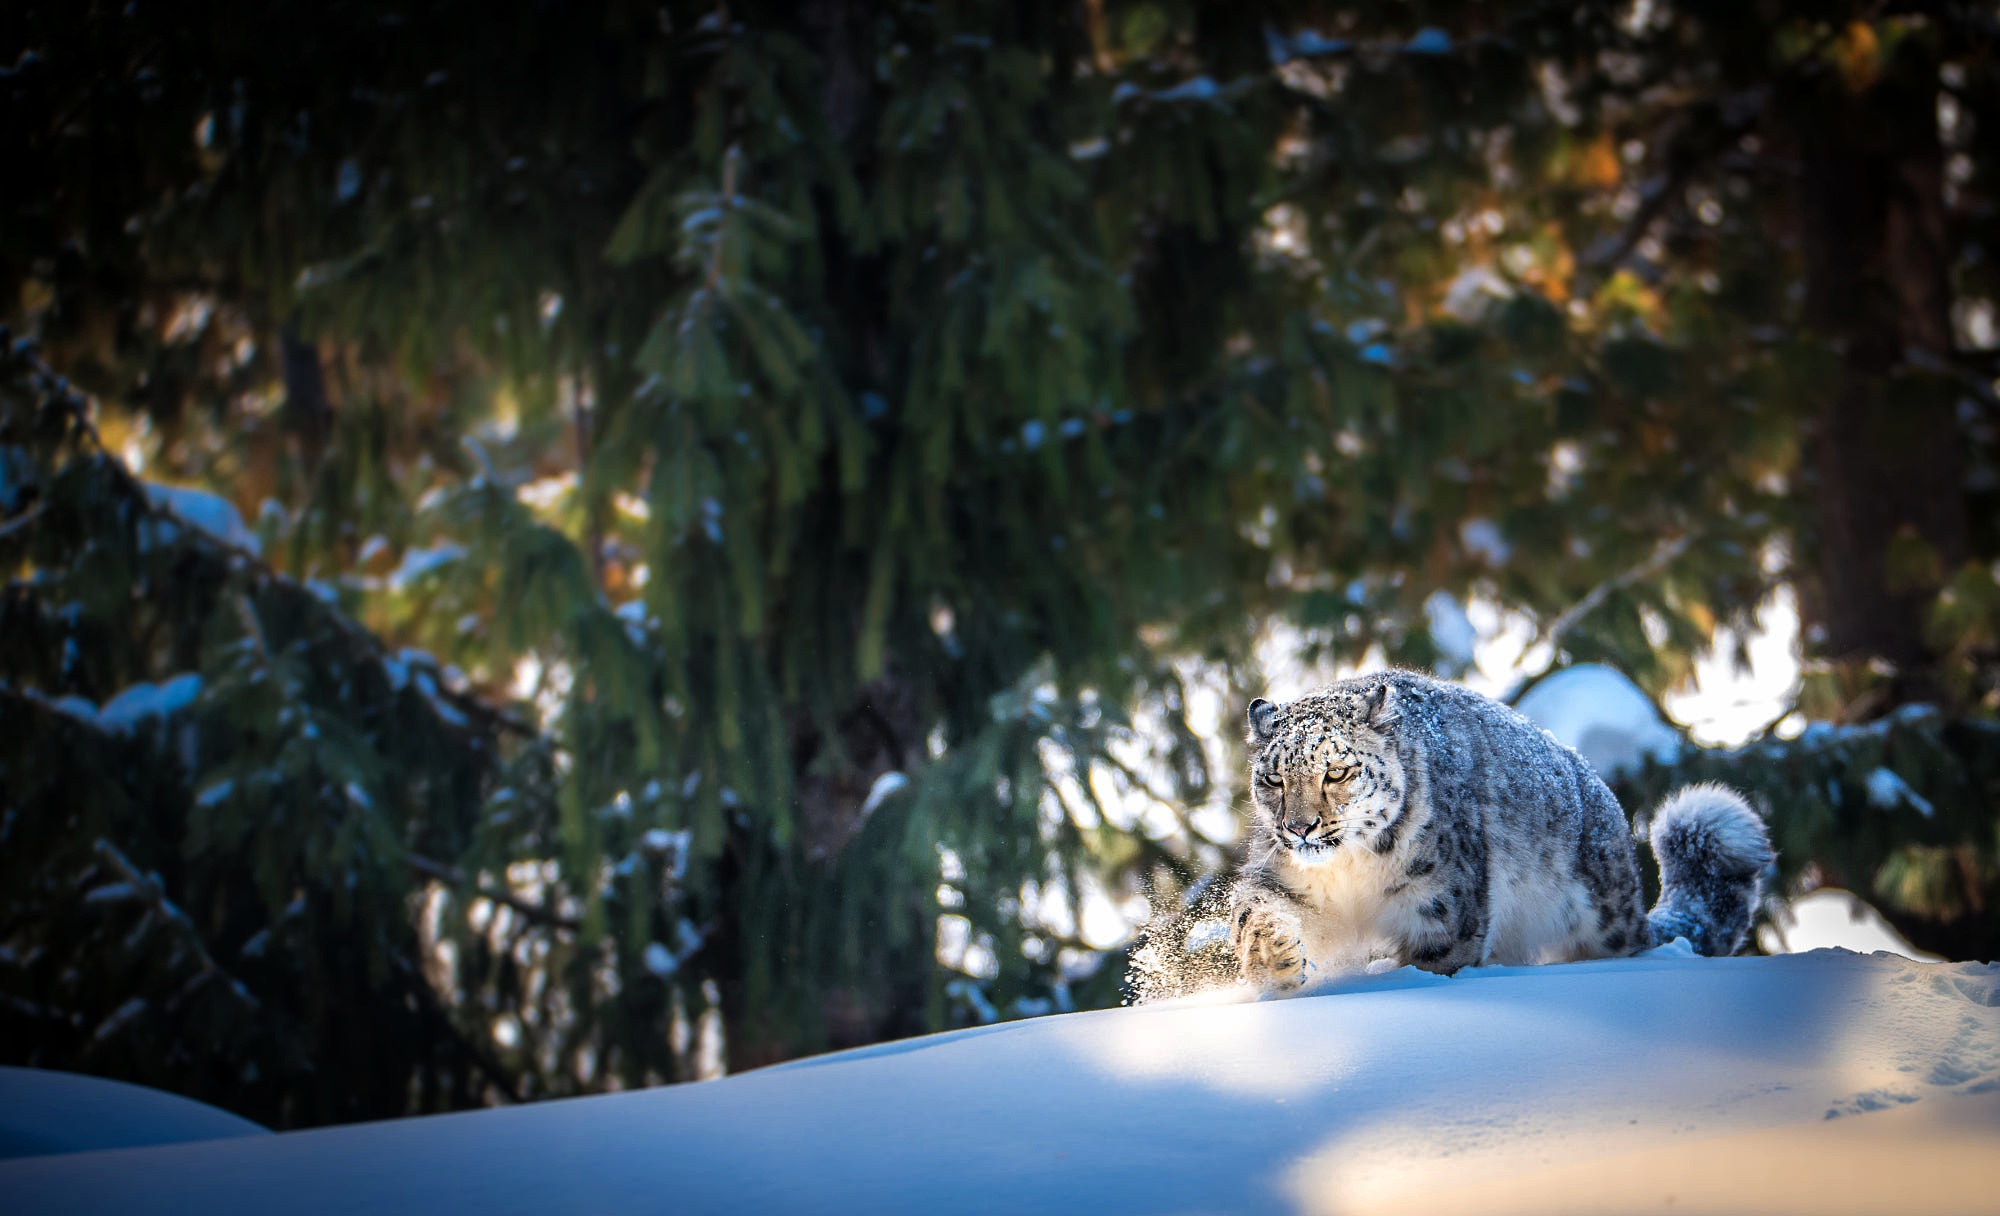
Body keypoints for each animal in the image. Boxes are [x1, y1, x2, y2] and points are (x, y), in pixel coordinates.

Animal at [1224, 668, 1776, 992]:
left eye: (1336, 772)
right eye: (1273, 778)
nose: (1299, 829)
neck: (1351, 872)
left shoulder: (1440, 905)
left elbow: (1438, 963)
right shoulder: (1281, 877)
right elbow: (1251, 909)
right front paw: (1275, 953)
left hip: (1601, 916)